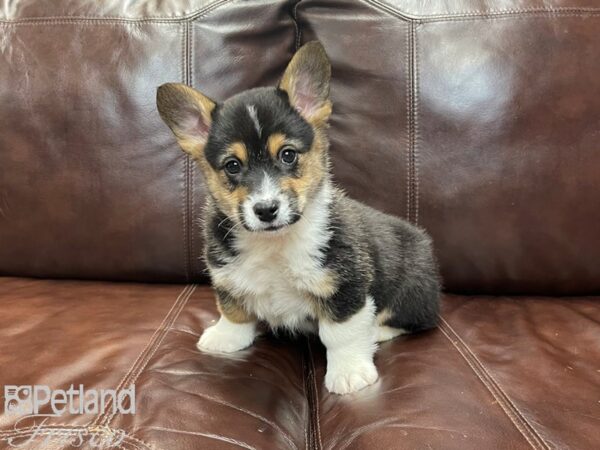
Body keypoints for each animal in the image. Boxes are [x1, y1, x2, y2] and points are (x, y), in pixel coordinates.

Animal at [156, 41, 440, 394]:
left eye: (288, 154)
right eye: (232, 165)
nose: (266, 210)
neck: (273, 242)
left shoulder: (344, 285)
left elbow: (341, 333)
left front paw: (349, 372)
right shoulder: (227, 276)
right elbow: (233, 308)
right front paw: (225, 337)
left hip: (413, 290)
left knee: (411, 320)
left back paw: (378, 331)